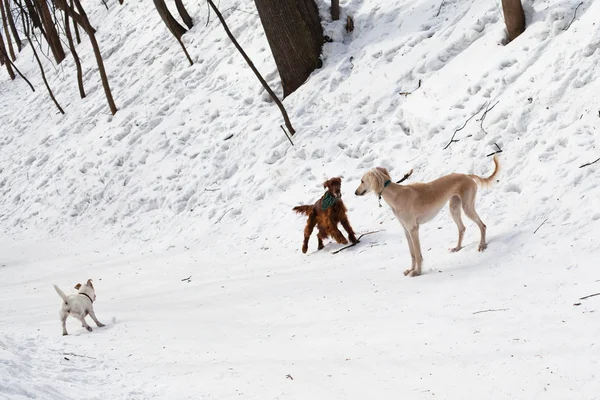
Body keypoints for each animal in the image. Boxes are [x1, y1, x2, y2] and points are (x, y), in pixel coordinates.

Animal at [354, 155, 500, 276]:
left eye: (362, 181)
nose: (355, 193)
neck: (395, 195)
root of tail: (467, 175)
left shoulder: (413, 229)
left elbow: (418, 254)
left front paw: (417, 272)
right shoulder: (406, 230)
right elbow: (412, 253)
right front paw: (410, 269)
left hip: (467, 207)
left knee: (482, 225)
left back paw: (482, 245)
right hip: (454, 207)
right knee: (462, 228)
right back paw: (457, 248)